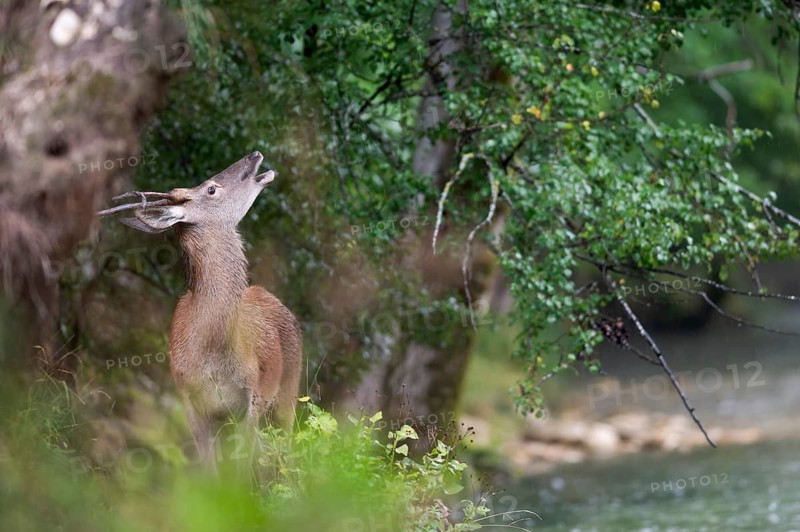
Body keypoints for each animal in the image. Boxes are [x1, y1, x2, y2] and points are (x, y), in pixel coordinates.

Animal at [97, 151, 302, 473]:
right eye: (211, 189)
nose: (254, 155)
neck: (211, 354)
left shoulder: (251, 398)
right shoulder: (192, 405)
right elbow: (211, 474)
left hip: (288, 390)